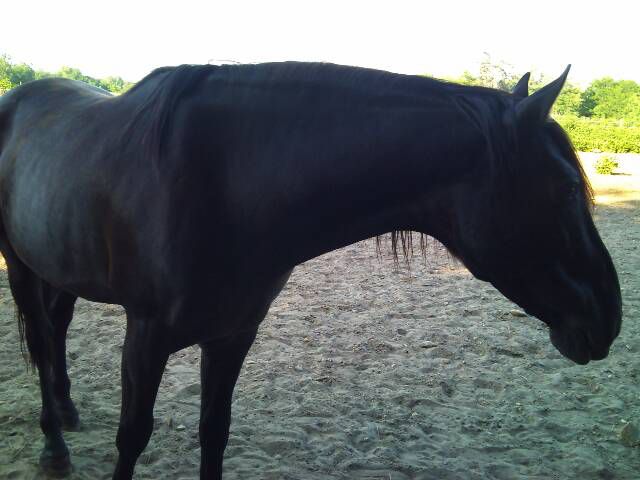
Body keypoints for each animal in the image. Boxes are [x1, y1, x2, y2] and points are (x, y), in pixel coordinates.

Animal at [0, 62, 621, 479]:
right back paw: (54, 444)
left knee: (56, 330)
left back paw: (69, 411)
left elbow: (214, 430)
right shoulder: (146, 335)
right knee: (40, 337)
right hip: (21, 268)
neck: (220, 179)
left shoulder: (233, 334)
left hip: (60, 265)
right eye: (568, 189)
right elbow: (133, 437)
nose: (610, 317)